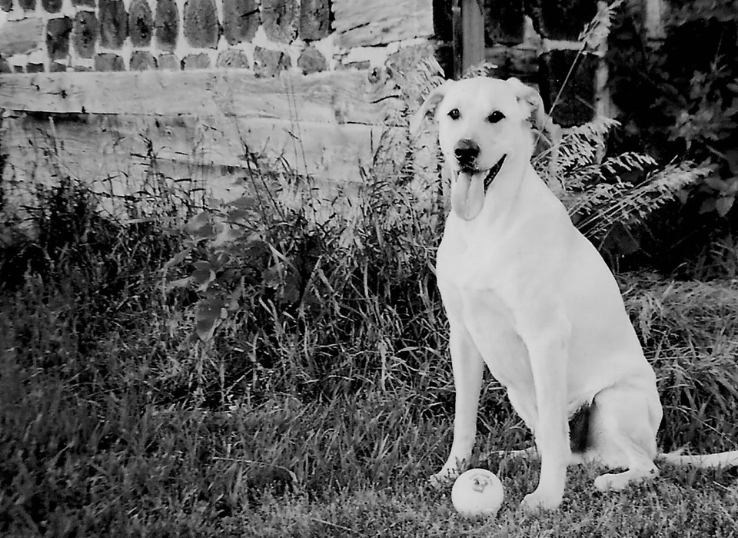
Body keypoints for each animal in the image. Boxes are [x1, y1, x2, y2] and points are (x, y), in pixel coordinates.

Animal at [412, 74, 736, 506]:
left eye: (496, 116)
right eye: (453, 114)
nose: (465, 151)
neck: (486, 226)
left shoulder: (545, 337)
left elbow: (553, 430)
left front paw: (547, 498)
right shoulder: (462, 337)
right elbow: (464, 419)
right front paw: (449, 474)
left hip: (613, 400)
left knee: (639, 465)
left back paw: (613, 480)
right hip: (520, 394)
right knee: (571, 452)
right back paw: (517, 455)